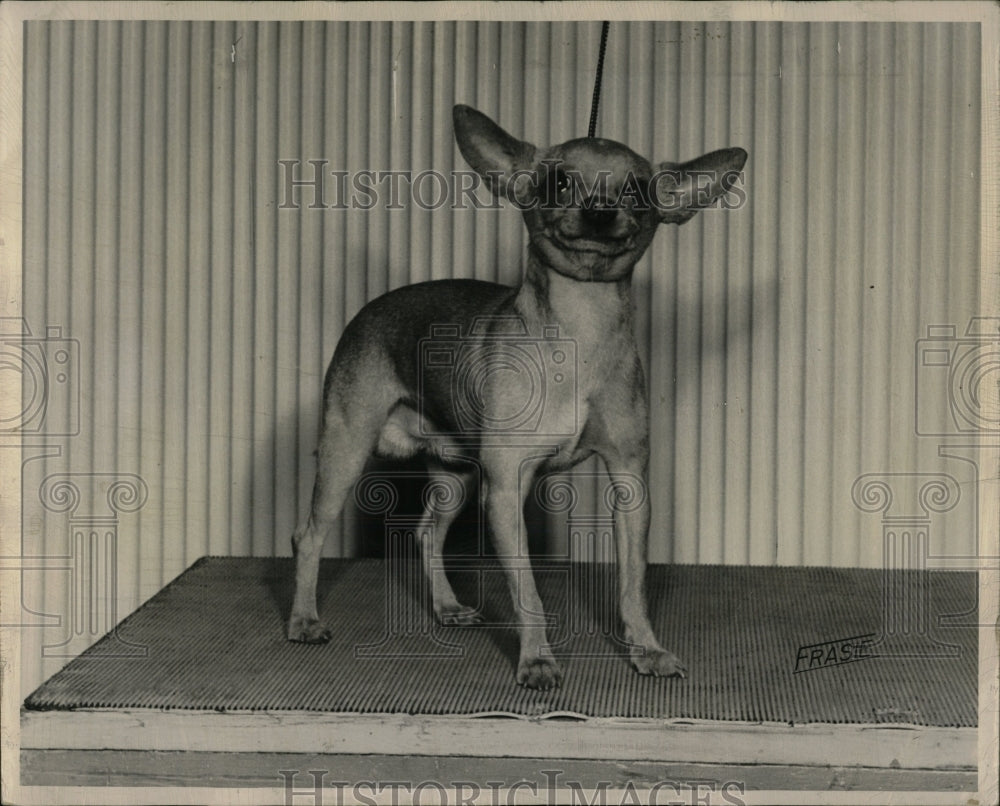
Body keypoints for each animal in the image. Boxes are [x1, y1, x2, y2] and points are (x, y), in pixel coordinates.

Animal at [288, 104, 744, 692]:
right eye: (560, 182)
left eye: (637, 189)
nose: (600, 212)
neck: (580, 331)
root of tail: (366, 311)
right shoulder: (507, 490)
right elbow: (526, 590)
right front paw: (537, 659)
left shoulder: (628, 485)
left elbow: (632, 585)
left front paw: (647, 649)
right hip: (346, 454)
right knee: (308, 536)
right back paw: (303, 619)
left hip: (456, 474)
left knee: (426, 534)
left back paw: (446, 606)